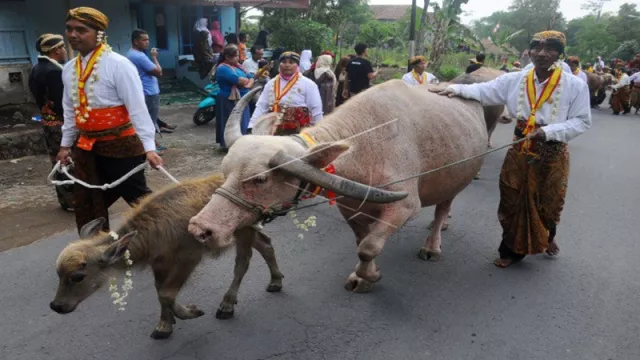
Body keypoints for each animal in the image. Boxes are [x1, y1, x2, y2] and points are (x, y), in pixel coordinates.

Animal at [47, 173, 282, 338]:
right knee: (266, 245)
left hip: (244, 232)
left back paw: (226, 306)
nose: (56, 306)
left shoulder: (189, 257)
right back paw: (275, 282)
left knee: (242, 262)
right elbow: (160, 292)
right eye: (58, 274)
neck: (155, 226)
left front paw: (190, 312)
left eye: (78, 276)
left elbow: (167, 294)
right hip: (249, 231)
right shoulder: (159, 263)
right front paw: (165, 325)